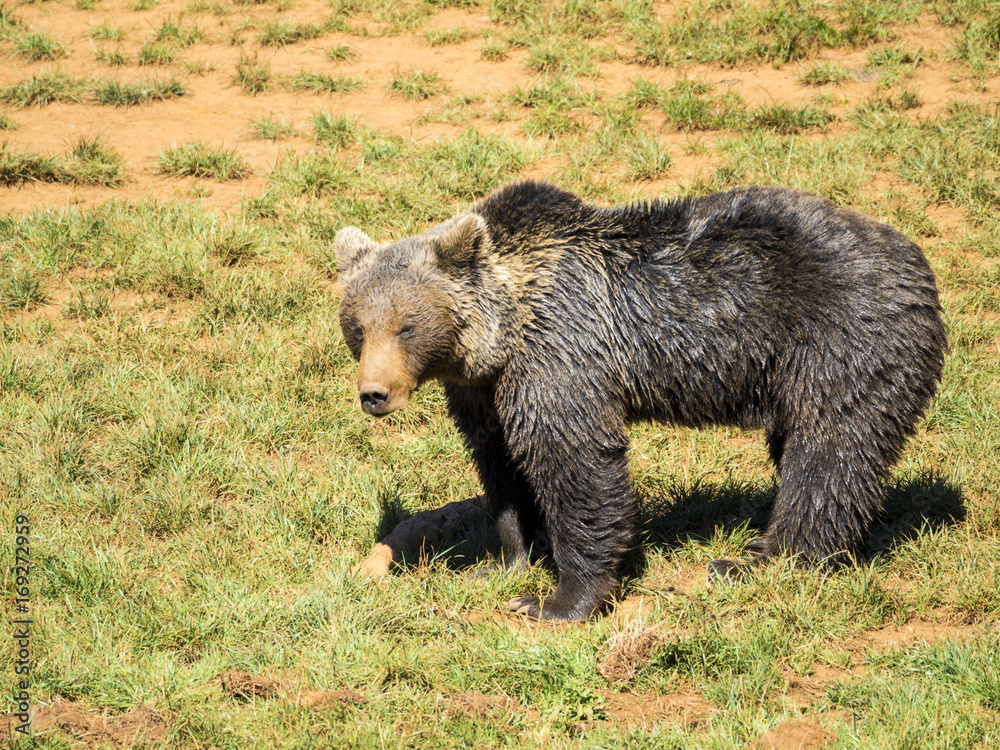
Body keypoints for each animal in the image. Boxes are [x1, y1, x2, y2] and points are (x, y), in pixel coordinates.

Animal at [334, 181, 944, 624]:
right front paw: (504, 563)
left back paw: (758, 560)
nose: (374, 394)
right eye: (358, 327)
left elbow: (575, 464)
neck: (499, 337)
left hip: (841, 341)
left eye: (407, 325)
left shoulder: (561, 354)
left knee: (828, 454)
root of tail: (917, 260)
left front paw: (558, 600)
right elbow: (502, 466)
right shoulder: (482, 391)